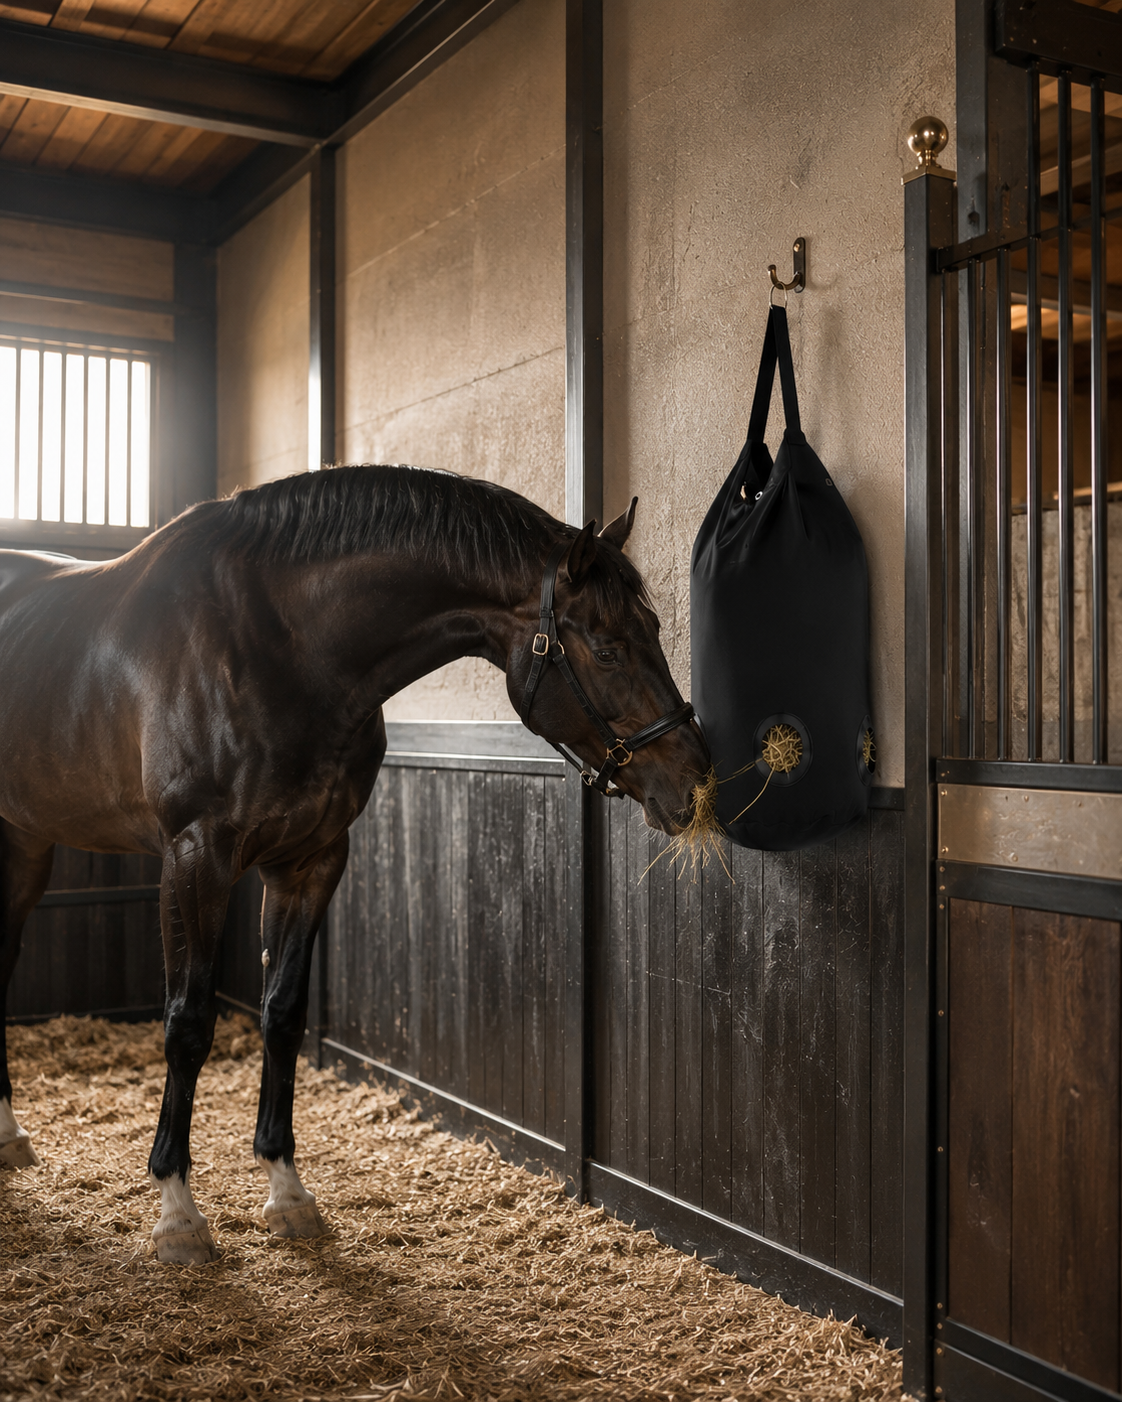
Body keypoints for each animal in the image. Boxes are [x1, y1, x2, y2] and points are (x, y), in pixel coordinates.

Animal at [0, 464, 708, 1264]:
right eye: (609, 648)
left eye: (654, 630)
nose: (695, 780)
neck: (276, 648)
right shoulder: (193, 860)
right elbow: (188, 1023)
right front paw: (178, 1213)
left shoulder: (310, 861)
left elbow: (283, 1013)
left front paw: (287, 1192)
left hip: (26, 842)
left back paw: (9, 1135)